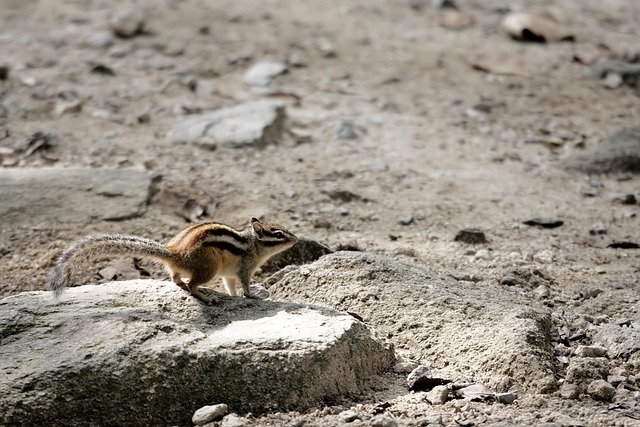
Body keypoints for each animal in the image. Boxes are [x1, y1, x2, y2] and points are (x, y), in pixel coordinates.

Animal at [50, 217, 297, 304]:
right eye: (278, 234)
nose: (296, 238)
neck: (253, 245)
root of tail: (175, 252)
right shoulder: (244, 269)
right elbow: (244, 284)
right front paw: (252, 296)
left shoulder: (229, 275)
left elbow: (230, 287)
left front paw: (234, 296)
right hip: (209, 267)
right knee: (191, 284)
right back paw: (205, 297)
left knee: (177, 280)